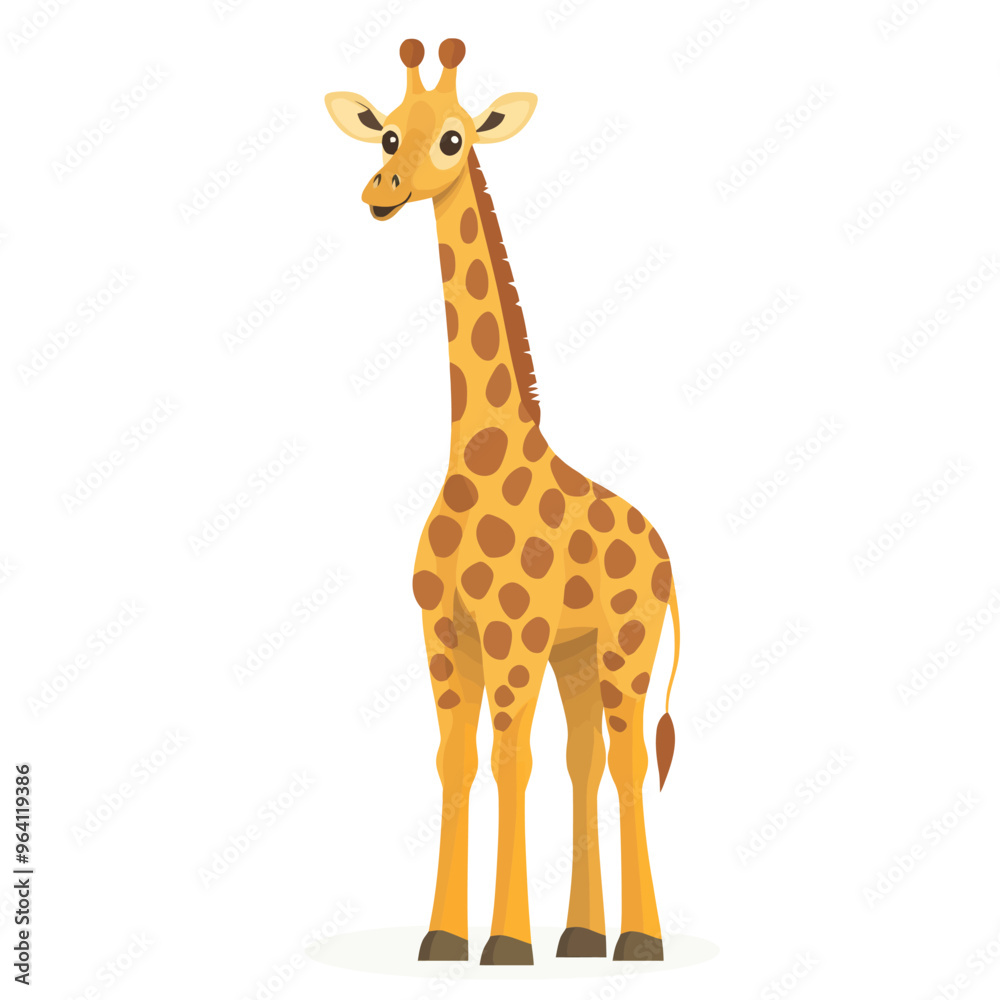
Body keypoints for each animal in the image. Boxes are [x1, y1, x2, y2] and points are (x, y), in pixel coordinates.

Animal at [326, 38, 681, 967]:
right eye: (386, 133)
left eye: (453, 137)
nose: (382, 190)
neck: (478, 457)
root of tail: (664, 551)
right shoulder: (445, 631)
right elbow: (457, 760)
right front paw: (445, 937)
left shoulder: (512, 631)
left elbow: (507, 758)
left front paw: (507, 944)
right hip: (580, 653)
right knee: (585, 758)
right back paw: (585, 936)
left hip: (626, 646)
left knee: (626, 759)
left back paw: (639, 940)